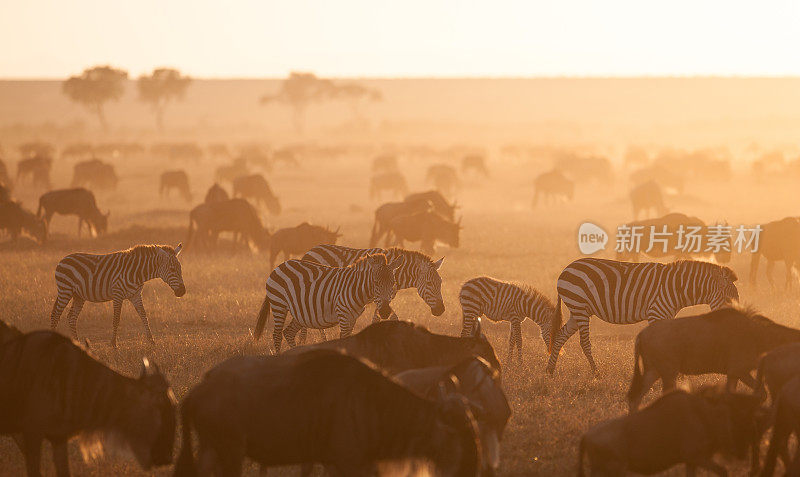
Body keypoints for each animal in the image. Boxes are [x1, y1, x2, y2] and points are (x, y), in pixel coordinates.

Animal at [50, 242, 186, 346]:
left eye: (180, 269)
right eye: (172, 269)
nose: (182, 291)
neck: (137, 273)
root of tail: (63, 259)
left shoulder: (136, 295)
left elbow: (144, 316)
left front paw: (151, 341)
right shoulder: (117, 294)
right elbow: (116, 319)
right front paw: (113, 344)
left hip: (78, 296)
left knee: (71, 317)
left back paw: (77, 343)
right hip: (65, 290)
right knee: (56, 315)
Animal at [255, 253, 404, 354]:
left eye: (393, 283)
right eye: (376, 283)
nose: (385, 312)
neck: (357, 289)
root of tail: (280, 265)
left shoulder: (353, 317)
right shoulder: (343, 313)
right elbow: (344, 339)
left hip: (299, 313)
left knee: (288, 333)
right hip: (278, 304)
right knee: (277, 335)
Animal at [548, 258, 740, 374]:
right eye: (729, 299)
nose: (735, 322)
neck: (677, 288)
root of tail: (567, 268)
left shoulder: (667, 316)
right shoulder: (656, 314)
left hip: (578, 310)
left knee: (560, 335)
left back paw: (550, 370)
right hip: (579, 307)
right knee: (584, 342)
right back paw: (596, 373)